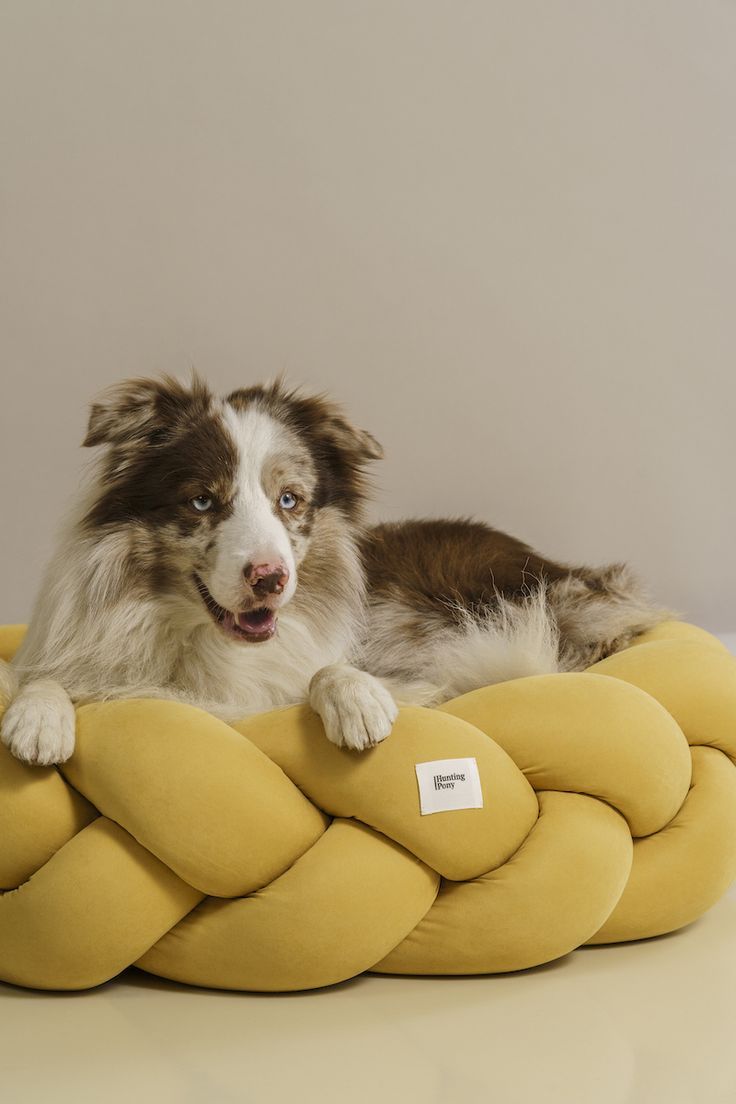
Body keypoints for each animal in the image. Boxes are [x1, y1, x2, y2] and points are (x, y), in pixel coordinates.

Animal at [0, 373, 670, 768]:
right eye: (202, 501)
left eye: (289, 499)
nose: (271, 578)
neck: (211, 644)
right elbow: (41, 677)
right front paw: (38, 718)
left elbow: (331, 669)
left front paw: (358, 701)